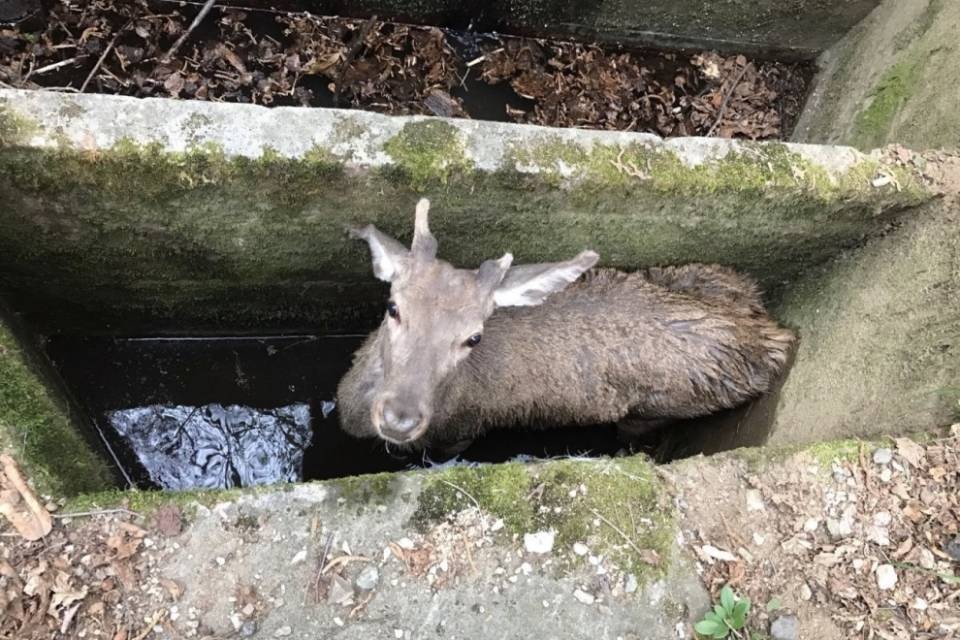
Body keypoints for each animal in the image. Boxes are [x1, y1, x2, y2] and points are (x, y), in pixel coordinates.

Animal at [337, 198, 795, 457]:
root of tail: (773, 336)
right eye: (393, 307)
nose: (400, 418)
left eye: (473, 336)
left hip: (659, 409)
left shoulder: (461, 432)